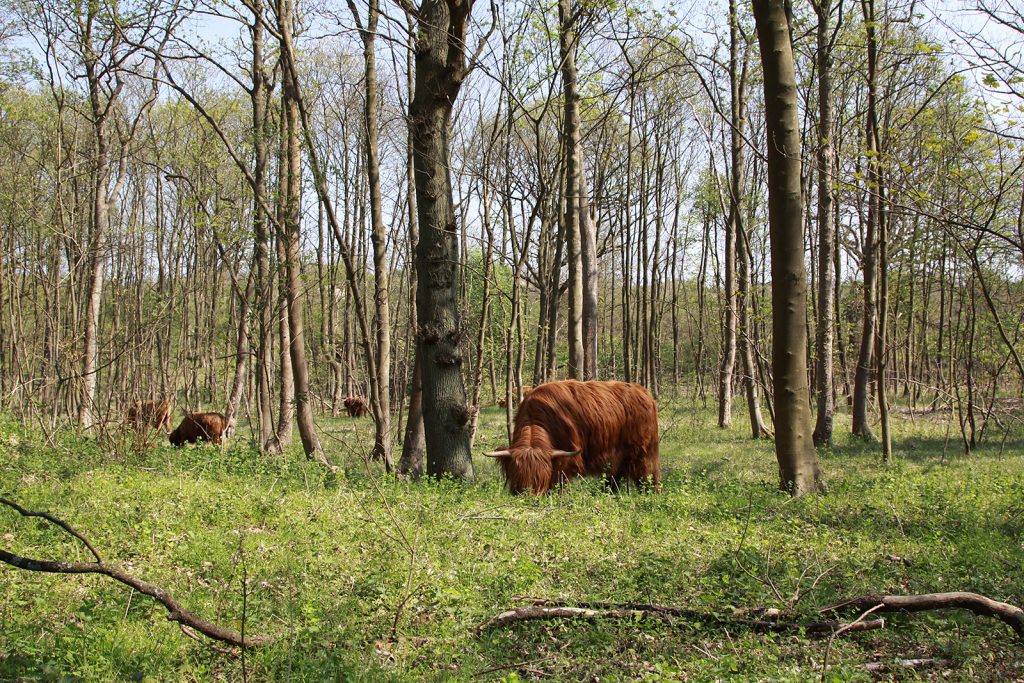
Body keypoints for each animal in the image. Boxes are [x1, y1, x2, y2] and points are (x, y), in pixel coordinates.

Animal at [483, 378, 659, 497]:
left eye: (540, 479)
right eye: (518, 478)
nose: (529, 497)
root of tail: (643, 392)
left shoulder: (567, 460)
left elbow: (558, 483)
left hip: (645, 452)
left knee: (648, 474)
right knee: (615, 476)